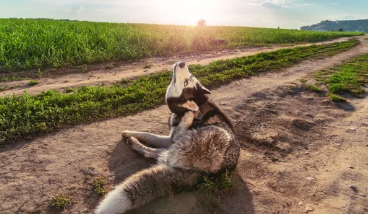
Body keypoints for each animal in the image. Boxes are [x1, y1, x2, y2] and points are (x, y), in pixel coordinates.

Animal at [95, 61, 240, 213]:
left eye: (186, 82)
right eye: (190, 78)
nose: (182, 63)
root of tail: (206, 174)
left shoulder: (173, 138)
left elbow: (156, 136)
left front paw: (188, 117)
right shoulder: (169, 138)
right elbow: (148, 134)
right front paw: (128, 132)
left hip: (206, 138)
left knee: (157, 154)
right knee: (156, 153)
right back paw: (132, 140)